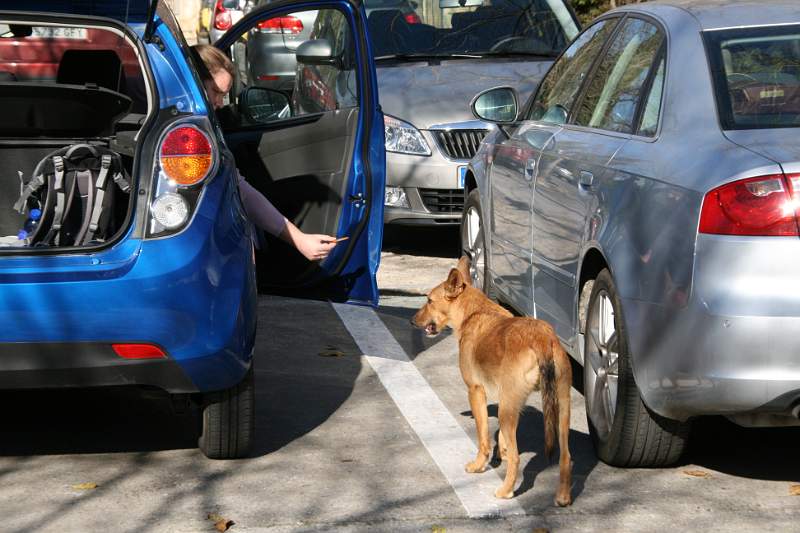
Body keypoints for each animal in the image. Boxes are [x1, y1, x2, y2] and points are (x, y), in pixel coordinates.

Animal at [416, 258, 572, 508]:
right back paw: (563, 497)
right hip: (560, 406)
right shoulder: (506, 398)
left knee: (518, 459)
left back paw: (506, 491)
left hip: (510, 409)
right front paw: (502, 452)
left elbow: (483, 439)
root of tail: (541, 338)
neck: (474, 312)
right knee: (566, 457)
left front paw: (479, 465)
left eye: (429, 301)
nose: (413, 320)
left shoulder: (476, 392)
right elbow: (501, 438)